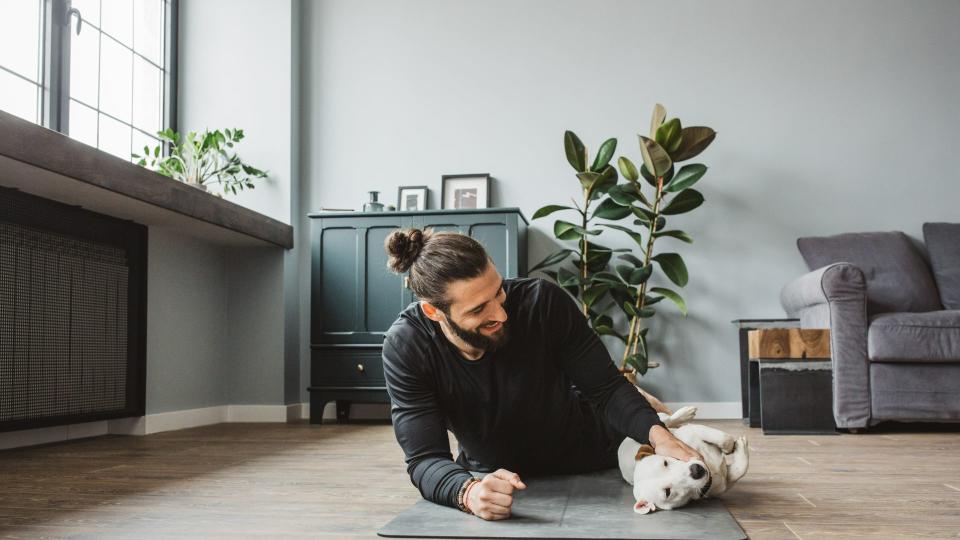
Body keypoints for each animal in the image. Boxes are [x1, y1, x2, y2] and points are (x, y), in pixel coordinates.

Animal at [620, 400, 748, 516]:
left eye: (665, 462)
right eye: (667, 492)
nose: (696, 470)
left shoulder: (691, 430)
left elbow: (724, 438)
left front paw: (732, 447)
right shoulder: (723, 484)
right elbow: (739, 470)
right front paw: (742, 448)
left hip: (658, 422)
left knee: (665, 421)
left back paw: (685, 413)